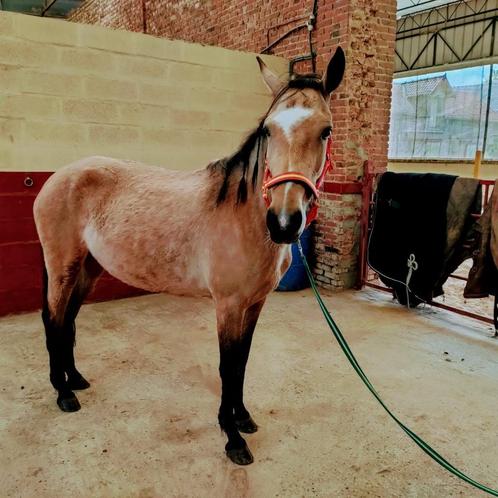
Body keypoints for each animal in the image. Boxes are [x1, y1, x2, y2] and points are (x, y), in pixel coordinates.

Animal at [34, 47, 346, 466]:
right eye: (268, 130)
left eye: (325, 130)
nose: (284, 222)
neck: (243, 215)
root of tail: (56, 178)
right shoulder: (228, 305)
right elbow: (228, 367)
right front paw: (233, 438)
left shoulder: (255, 303)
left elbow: (242, 362)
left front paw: (243, 418)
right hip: (63, 268)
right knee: (53, 320)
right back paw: (63, 393)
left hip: (88, 268)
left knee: (67, 321)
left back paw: (76, 381)